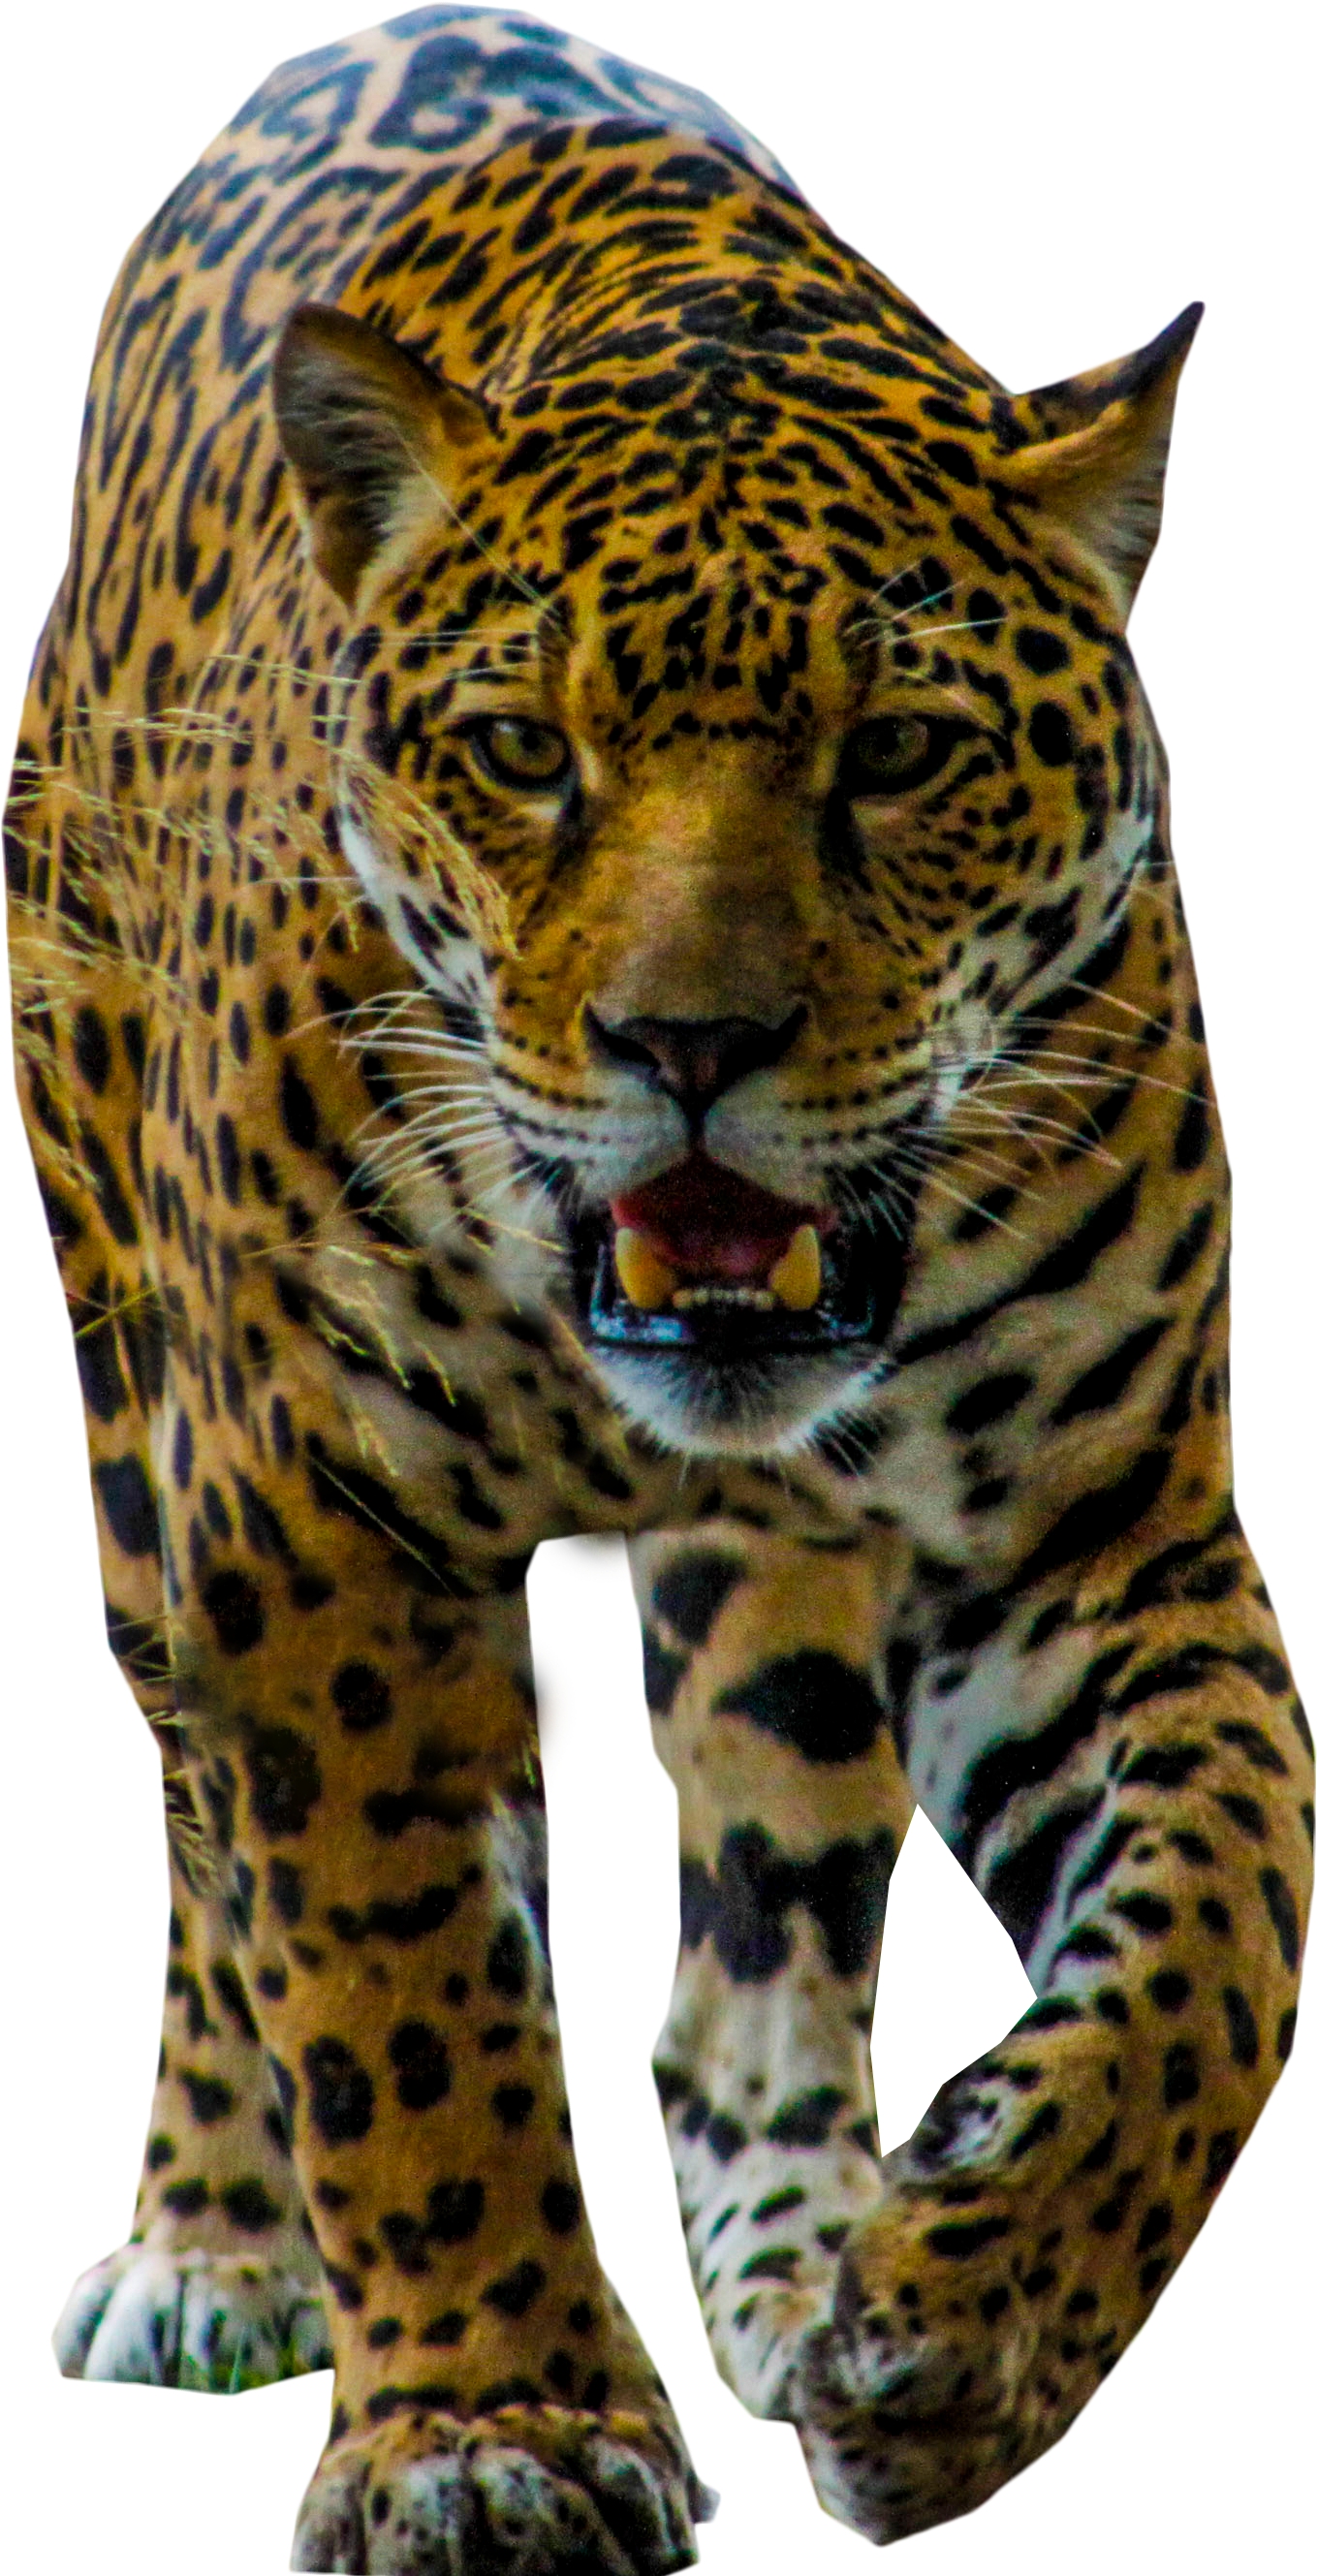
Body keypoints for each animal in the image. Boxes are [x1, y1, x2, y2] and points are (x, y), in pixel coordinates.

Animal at [5, 6, 1310, 2568]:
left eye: (896, 751)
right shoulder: (304, 1518)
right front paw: (491, 2429)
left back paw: (809, 2259)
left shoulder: (1099, 1525)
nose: (687, 1046)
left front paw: (965, 2321)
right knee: (211, 1838)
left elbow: (1223, 1917)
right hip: (125, 1402)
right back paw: (212, 2246)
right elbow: (393, 1989)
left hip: (768, 1592)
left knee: (751, 1939)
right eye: (525, 751)